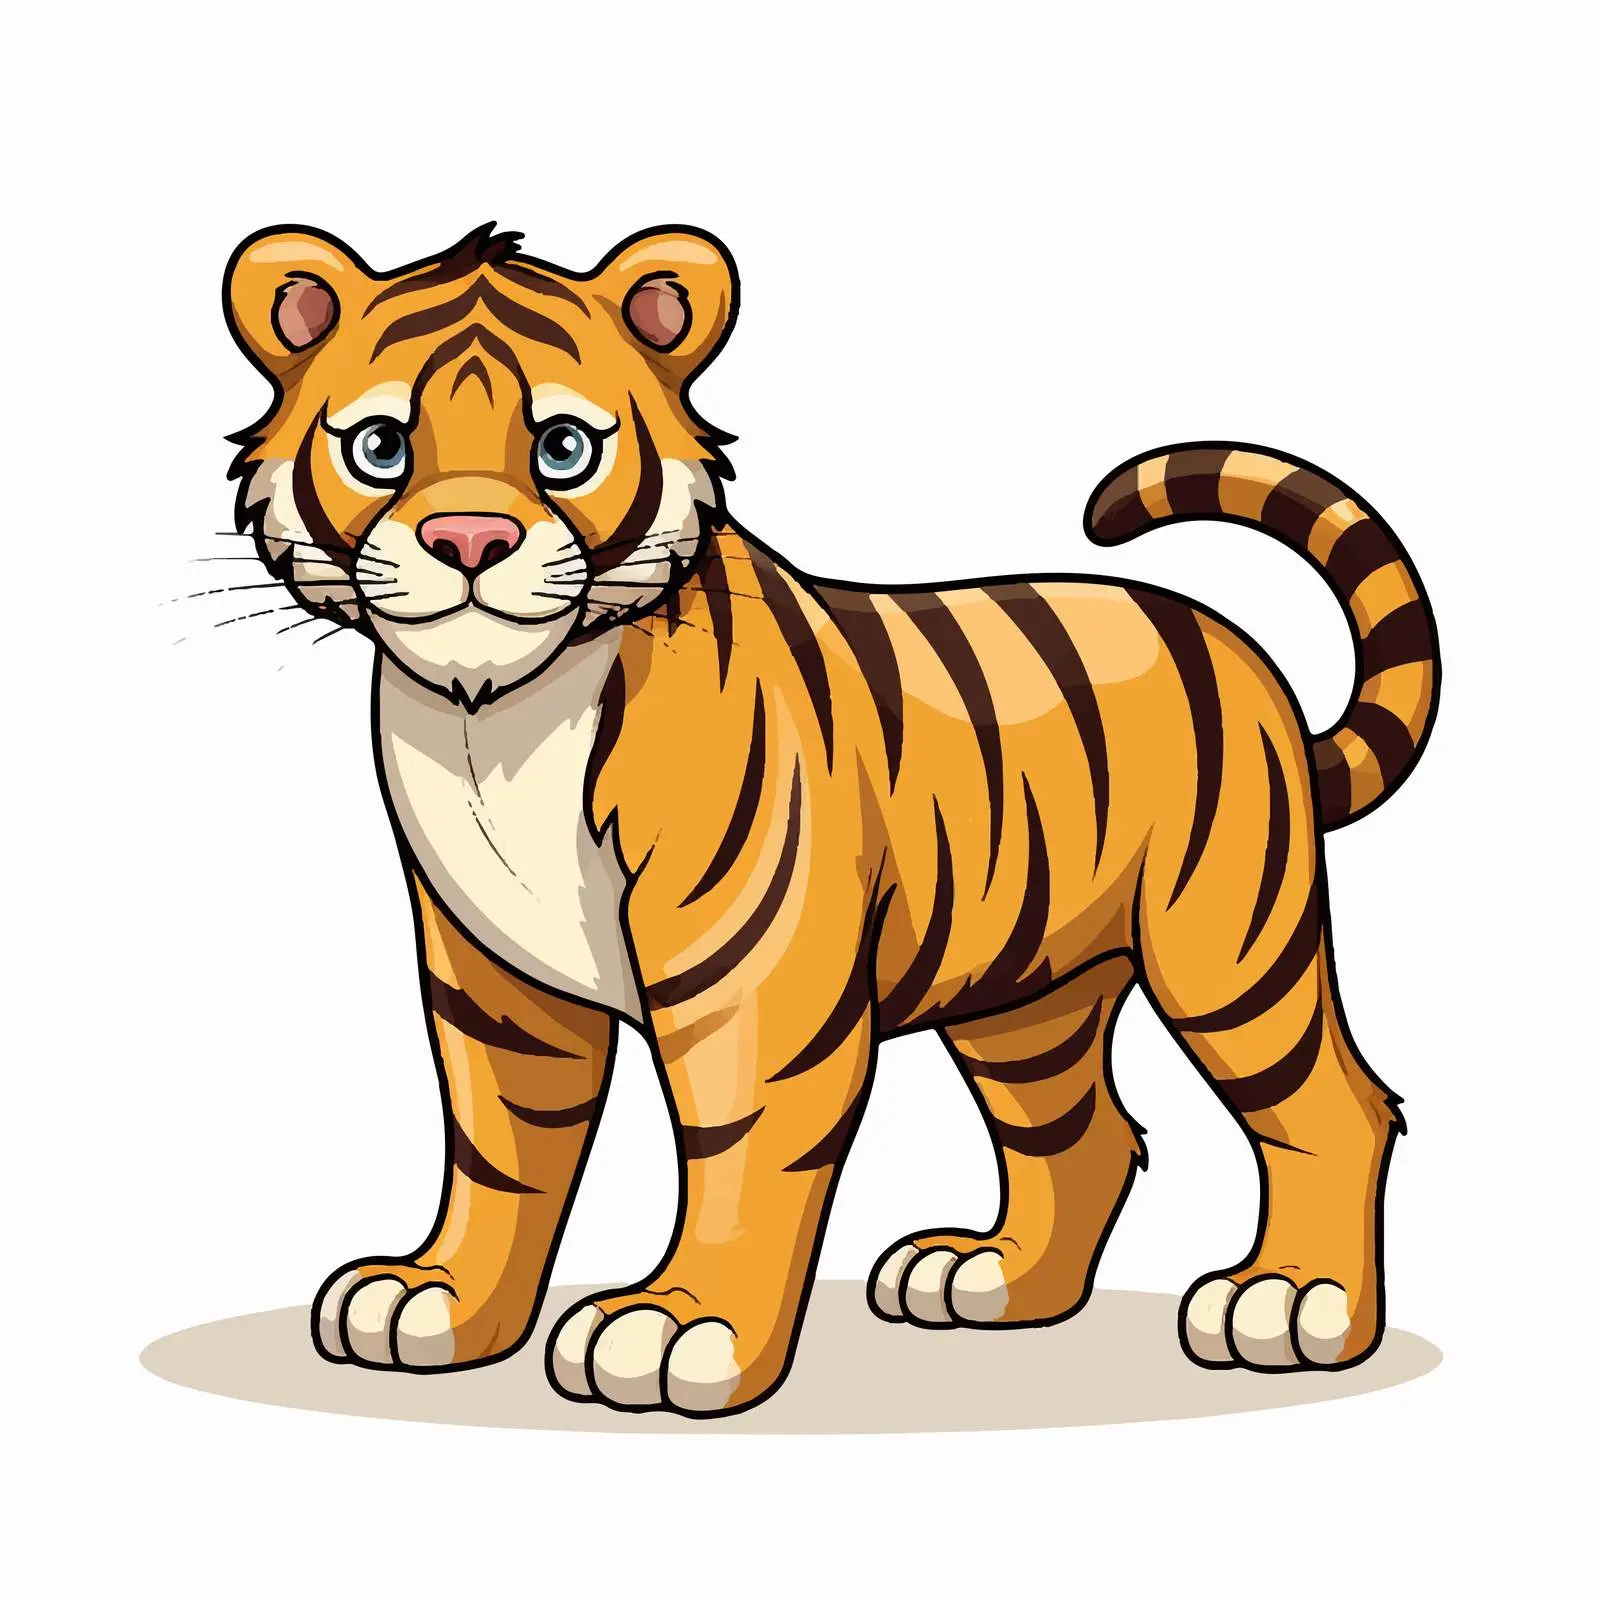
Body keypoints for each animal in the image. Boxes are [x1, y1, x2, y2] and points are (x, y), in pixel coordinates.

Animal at [222, 221, 1439, 1417]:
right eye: (381, 448)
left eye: (563, 449)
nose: (468, 540)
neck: (493, 718)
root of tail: (1229, 642)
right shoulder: (493, 983)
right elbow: (500, 1150)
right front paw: (438, 1300)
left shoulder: (752, 983)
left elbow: (735, 1150)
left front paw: (682, 1328)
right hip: (1025, 991)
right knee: (1082, 1134)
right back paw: (990, 1280)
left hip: (1227, 946)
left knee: (1335, 1106)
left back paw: (1296, 1303)